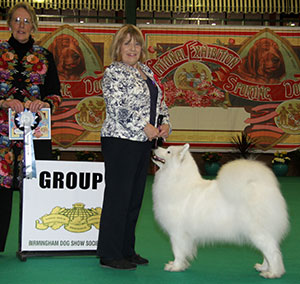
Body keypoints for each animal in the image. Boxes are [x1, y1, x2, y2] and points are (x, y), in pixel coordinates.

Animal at [154, 144, 290, 278]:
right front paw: (179, 265)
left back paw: (273, 273)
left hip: (258, 232)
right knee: (268, 252)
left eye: (168, 151)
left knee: (272, 252)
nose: (155, 147)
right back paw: (263, 267)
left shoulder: (177, 233)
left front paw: (175, 267)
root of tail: (264, 186)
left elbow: (177, 251)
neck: (177, 180)